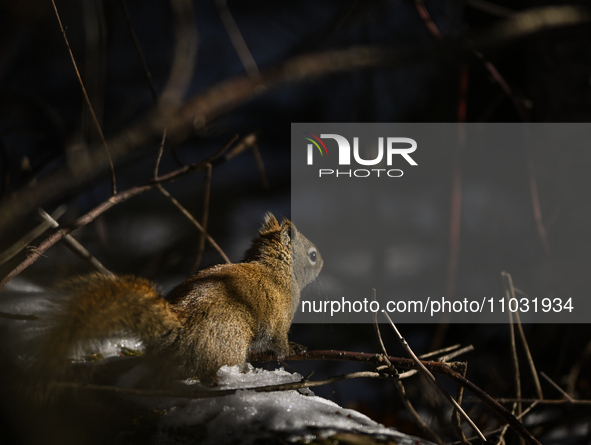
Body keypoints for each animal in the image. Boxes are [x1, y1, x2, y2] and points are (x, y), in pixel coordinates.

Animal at [35, 212, 324, 386]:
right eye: (312, 255)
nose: (322, 263)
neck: (276, 270)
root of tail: (175, 332)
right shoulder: (279, 319)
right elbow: (280, 343)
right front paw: (294, 349)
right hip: (227, 341)